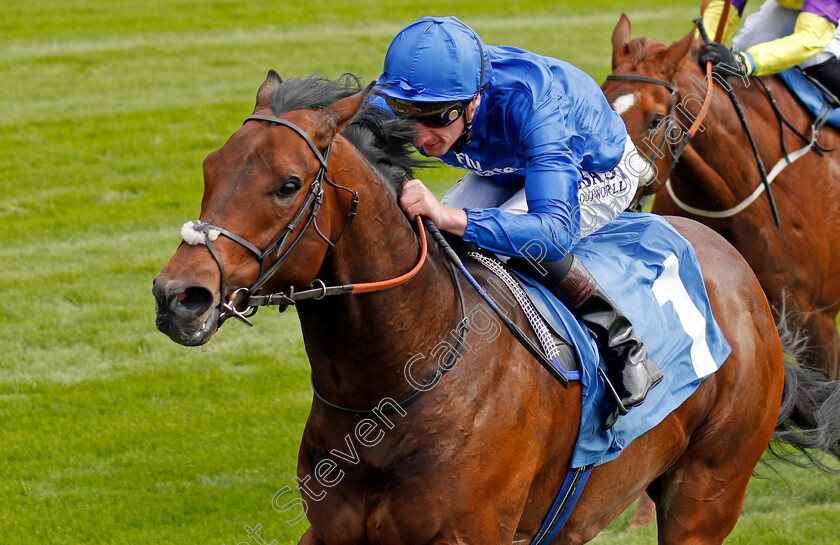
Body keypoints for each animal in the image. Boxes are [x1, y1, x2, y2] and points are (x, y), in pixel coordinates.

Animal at [154, 73, 836, 544]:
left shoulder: (468, 532)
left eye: (288, 184)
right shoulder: (331, 530)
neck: (398, 383)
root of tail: (742, 278)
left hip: (706, 493)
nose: (178, 297)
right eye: (211, 169)